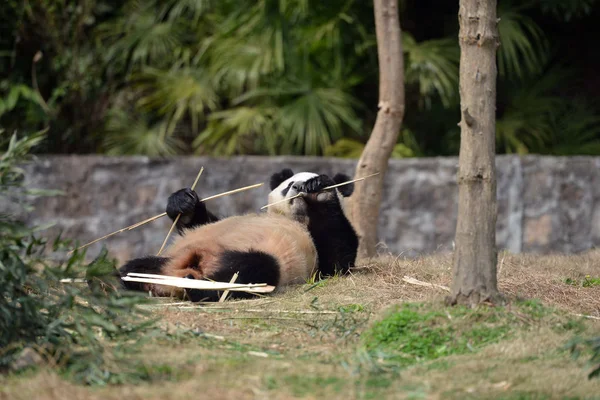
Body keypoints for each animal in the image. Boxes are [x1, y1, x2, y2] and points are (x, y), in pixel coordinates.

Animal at [119, 167, 358, 302]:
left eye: (305, 185)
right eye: (289, 183)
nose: (298, 187)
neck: (296, 218)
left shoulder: (317, 254)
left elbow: (336, 259)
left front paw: (321, 188)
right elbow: (198, 222)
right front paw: (183, 203)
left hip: (268, 261)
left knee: (253, 269)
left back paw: (199, 287)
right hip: (168, 260)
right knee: (133, 268)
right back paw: (134, 282)